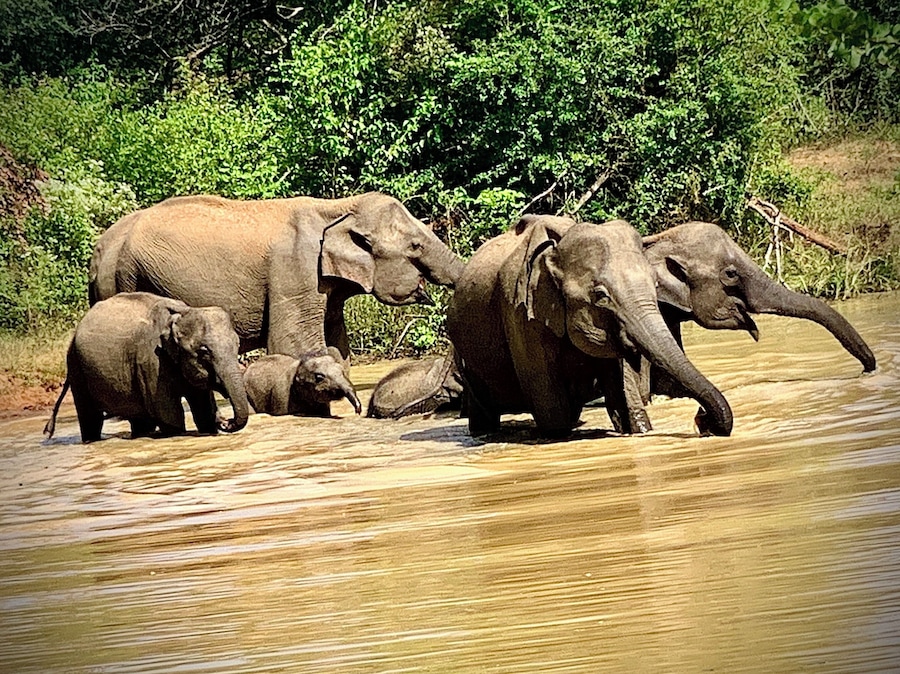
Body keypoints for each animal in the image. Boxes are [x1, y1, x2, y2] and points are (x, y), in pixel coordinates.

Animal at [44, 292, 250, 443]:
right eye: (204, 351)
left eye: (237, 345)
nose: (226, 421)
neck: (182, 311)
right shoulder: (150, 360)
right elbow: (170, 416)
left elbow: (203, 412)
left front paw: (211, 425)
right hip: (76, 366)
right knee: (90, 418)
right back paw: (90, 440)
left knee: (139, 420)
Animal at [90, 192, 465, 368]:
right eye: (415, 246)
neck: (337, 207)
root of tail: (100, 249)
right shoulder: (295, 271)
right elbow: (294, 346)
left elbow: (338, 348)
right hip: (127, 279)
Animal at [446, 215, 733, 437]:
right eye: (601, 296)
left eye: (655, 283)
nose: (702, 420)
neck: (557, 247)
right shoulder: (518, 314)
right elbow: (552, 411)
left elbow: (623, 395)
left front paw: (637, 427)